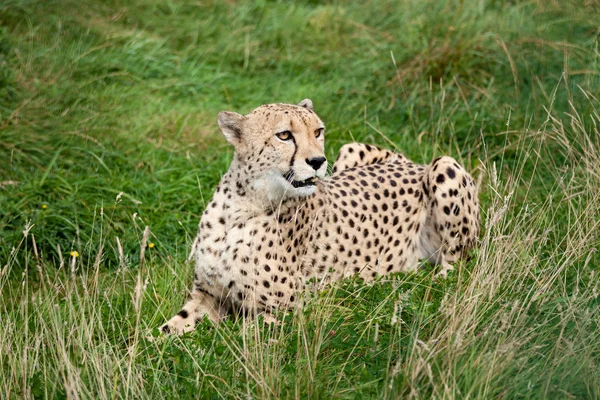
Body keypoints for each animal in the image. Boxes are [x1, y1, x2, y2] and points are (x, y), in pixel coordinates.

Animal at [159, 99, 478, 334]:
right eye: (284, 135)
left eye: (318, 132)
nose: (317, 161)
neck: (243, 205)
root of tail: (413, 163)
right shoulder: (207, 294)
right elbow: (169, 327)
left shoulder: (283, 309)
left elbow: (237, 337)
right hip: (351, 149)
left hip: (444, 165)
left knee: (455, 268)